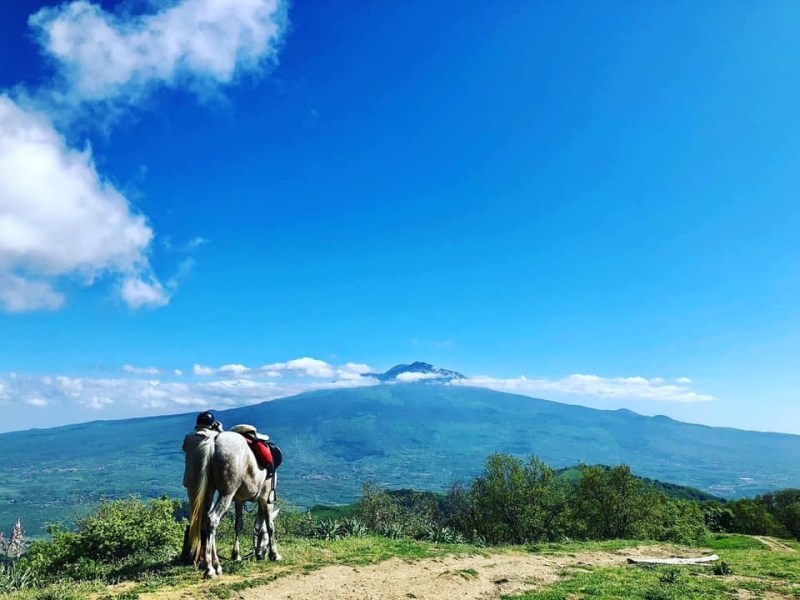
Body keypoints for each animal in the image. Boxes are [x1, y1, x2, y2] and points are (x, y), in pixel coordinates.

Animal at [185, 432, 282, 576]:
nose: (260, 555)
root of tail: (213, 441)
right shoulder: (266, 498)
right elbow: (270, 525)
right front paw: (274, 554)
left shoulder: (239, 500)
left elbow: (239, 525)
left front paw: (236, 555)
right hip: (227, 493)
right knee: (213, 519)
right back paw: (211, 567)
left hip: (209, 492)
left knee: (206, 521)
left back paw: (214, 564)